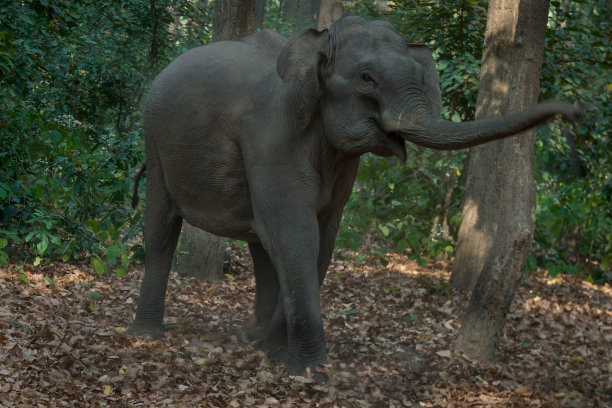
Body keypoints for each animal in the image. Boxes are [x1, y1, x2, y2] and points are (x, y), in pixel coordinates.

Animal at [129, 15, 584, 380]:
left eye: (421, 78)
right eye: (367, 78)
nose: (576, 112)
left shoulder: (341, 164)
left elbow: (321, 238)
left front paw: (277, 355)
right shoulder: (270, 135)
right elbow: (297, 234)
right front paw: (310, 369)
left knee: (260, 243)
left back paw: (253, 337)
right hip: (154, 136)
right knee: (163, 229)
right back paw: (146, 334)